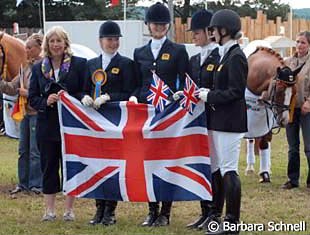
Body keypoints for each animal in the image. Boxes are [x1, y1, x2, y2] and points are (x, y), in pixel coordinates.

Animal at [243, 46, 302, 183]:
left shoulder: (267, 120)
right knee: (250, 140)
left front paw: (265, 173)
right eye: (280, 90)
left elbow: (264, 143)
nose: (285, 120)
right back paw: (249, 167)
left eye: (294, 92)